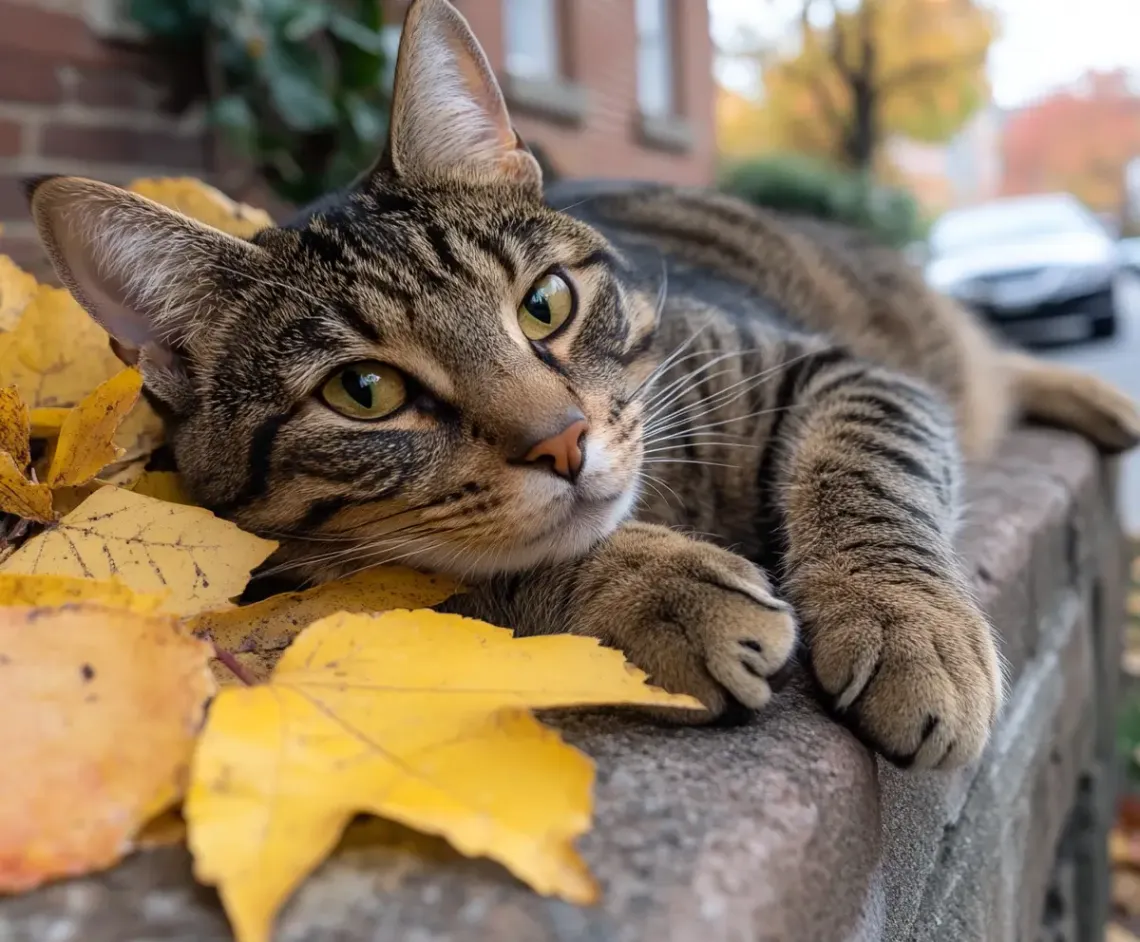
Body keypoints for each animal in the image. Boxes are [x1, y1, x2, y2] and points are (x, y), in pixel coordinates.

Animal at [20, 0, 1140, 766]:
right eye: (364, 394)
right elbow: (474, 567)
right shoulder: (276, 564)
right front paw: (656, 586)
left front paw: (906, 619)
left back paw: (1092, 398)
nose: (562, 440)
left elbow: (870, 465)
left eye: (545, 304)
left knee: (978, 359)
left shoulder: (836, 367)